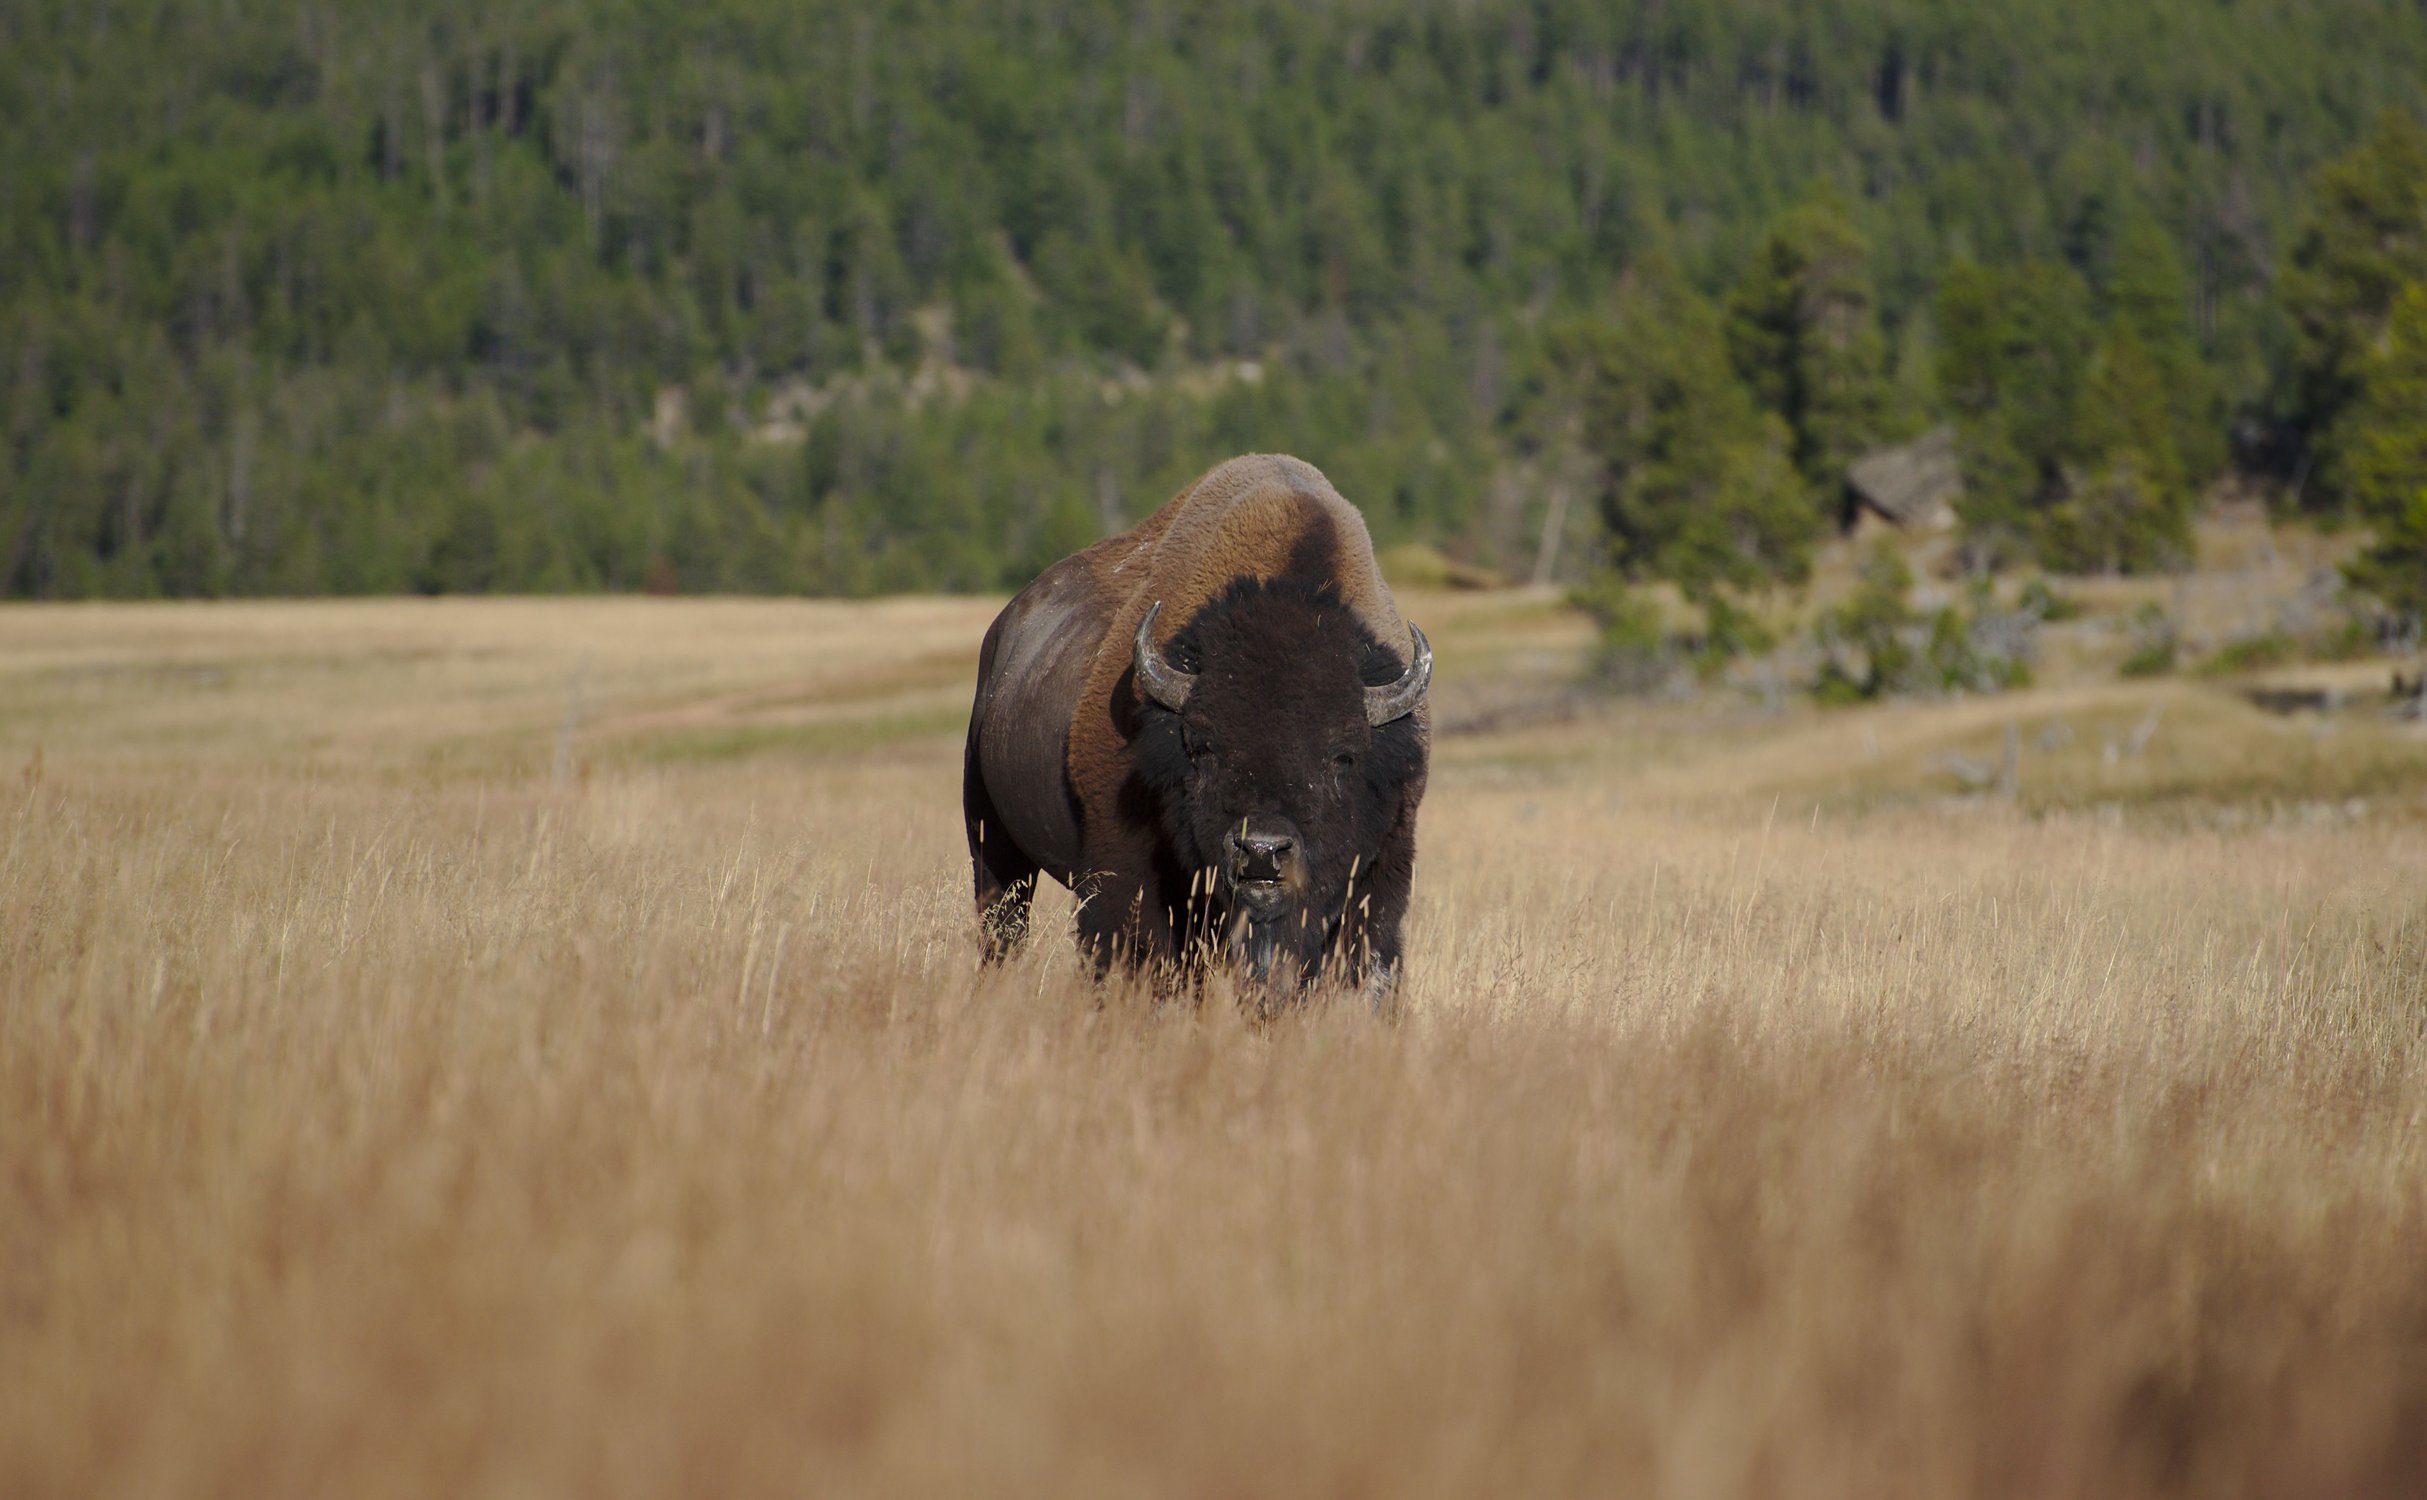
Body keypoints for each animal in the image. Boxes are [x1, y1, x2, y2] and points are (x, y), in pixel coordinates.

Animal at [961, 451, 1427, 995]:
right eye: (1203, 748)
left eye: (1343, 757)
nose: (1261, 853)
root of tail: (1004, 630)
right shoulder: (1123, 872)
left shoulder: (1383, 867)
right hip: (991, 839)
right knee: (1003, 927)